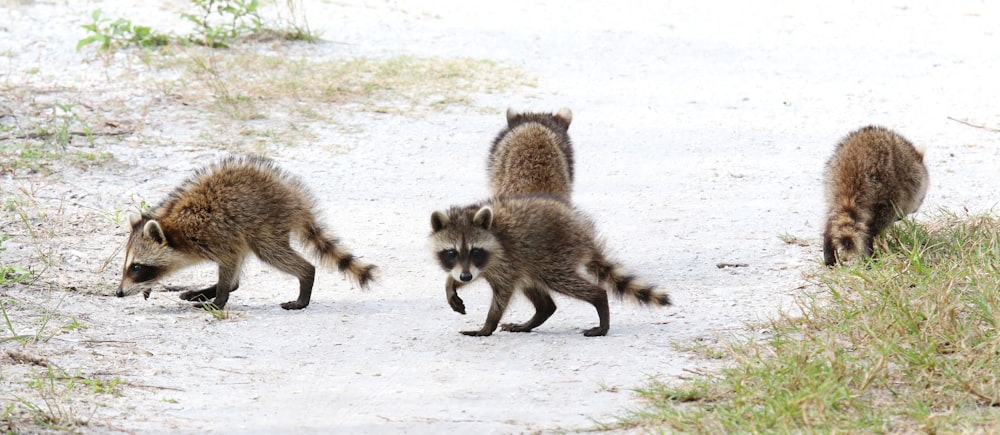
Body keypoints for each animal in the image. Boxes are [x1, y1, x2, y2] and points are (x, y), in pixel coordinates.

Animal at [117, 156, 376, 310]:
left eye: (136, 267)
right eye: (129, 265)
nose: (118, 293)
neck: (175, 227)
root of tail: (296, 200)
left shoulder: (215, 234)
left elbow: (229, 261)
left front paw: (219, 299)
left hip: (264, 224)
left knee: (272, 253)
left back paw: (305, 278)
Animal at [426, 196, 668, 338]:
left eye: (475, 251)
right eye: (451, 253)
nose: (465, 277)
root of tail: (584, 233)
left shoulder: (504, 261)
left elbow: (502, 295)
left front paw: (488, 325)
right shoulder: (486, 266)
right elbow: (466, 275)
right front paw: (451, 283)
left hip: (554, 256)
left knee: (565, 281)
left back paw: (599, 301)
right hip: (531, 262)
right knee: (540, 297)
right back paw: (536, 317)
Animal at [820, 126, 928, 266]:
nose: (901, 217)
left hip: (832, 180)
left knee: (833, 219)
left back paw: (829, 252)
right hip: (884, 185)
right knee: (873, 227)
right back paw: (869, 256)